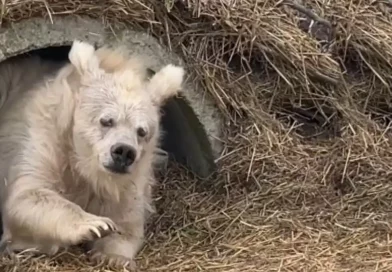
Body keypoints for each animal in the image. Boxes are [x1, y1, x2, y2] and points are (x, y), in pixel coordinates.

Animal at [0, 41, 185, 270]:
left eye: (142, 131)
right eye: (106, 120)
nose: (124, 152)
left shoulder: (131, 180)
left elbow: (127, 223)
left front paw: (115, 257)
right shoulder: (43, 142)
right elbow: (27, 196)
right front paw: (95, 224)